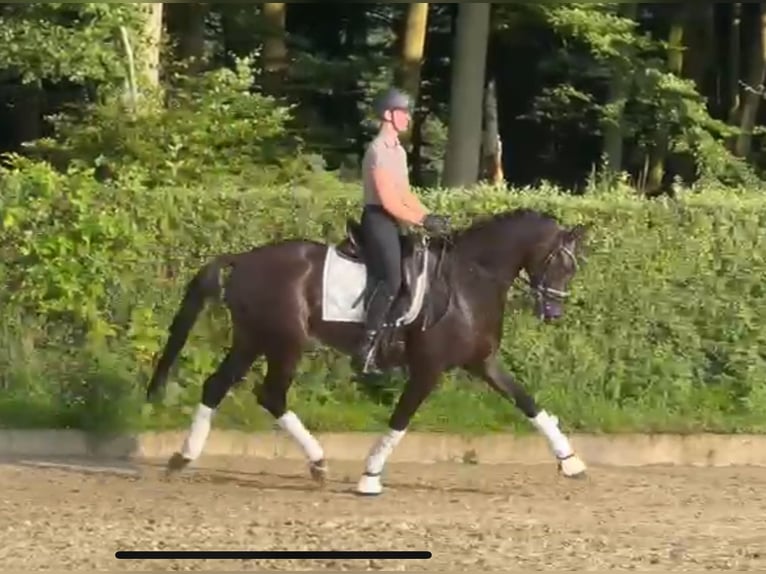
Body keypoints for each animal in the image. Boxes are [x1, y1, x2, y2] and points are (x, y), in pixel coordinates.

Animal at [148, 207, 592, 496]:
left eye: (572, 269)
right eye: (561, 265)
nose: (553, 313)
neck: (470, 279)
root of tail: (244, 259)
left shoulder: (483, 362)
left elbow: (528, 403)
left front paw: (572, 462)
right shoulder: (428, 369)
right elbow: (400, 420)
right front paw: (370, 477)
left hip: (252, 340)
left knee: (217, 386)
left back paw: (183, 458)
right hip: (283, 342)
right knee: (270, 394)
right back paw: (317, 462)